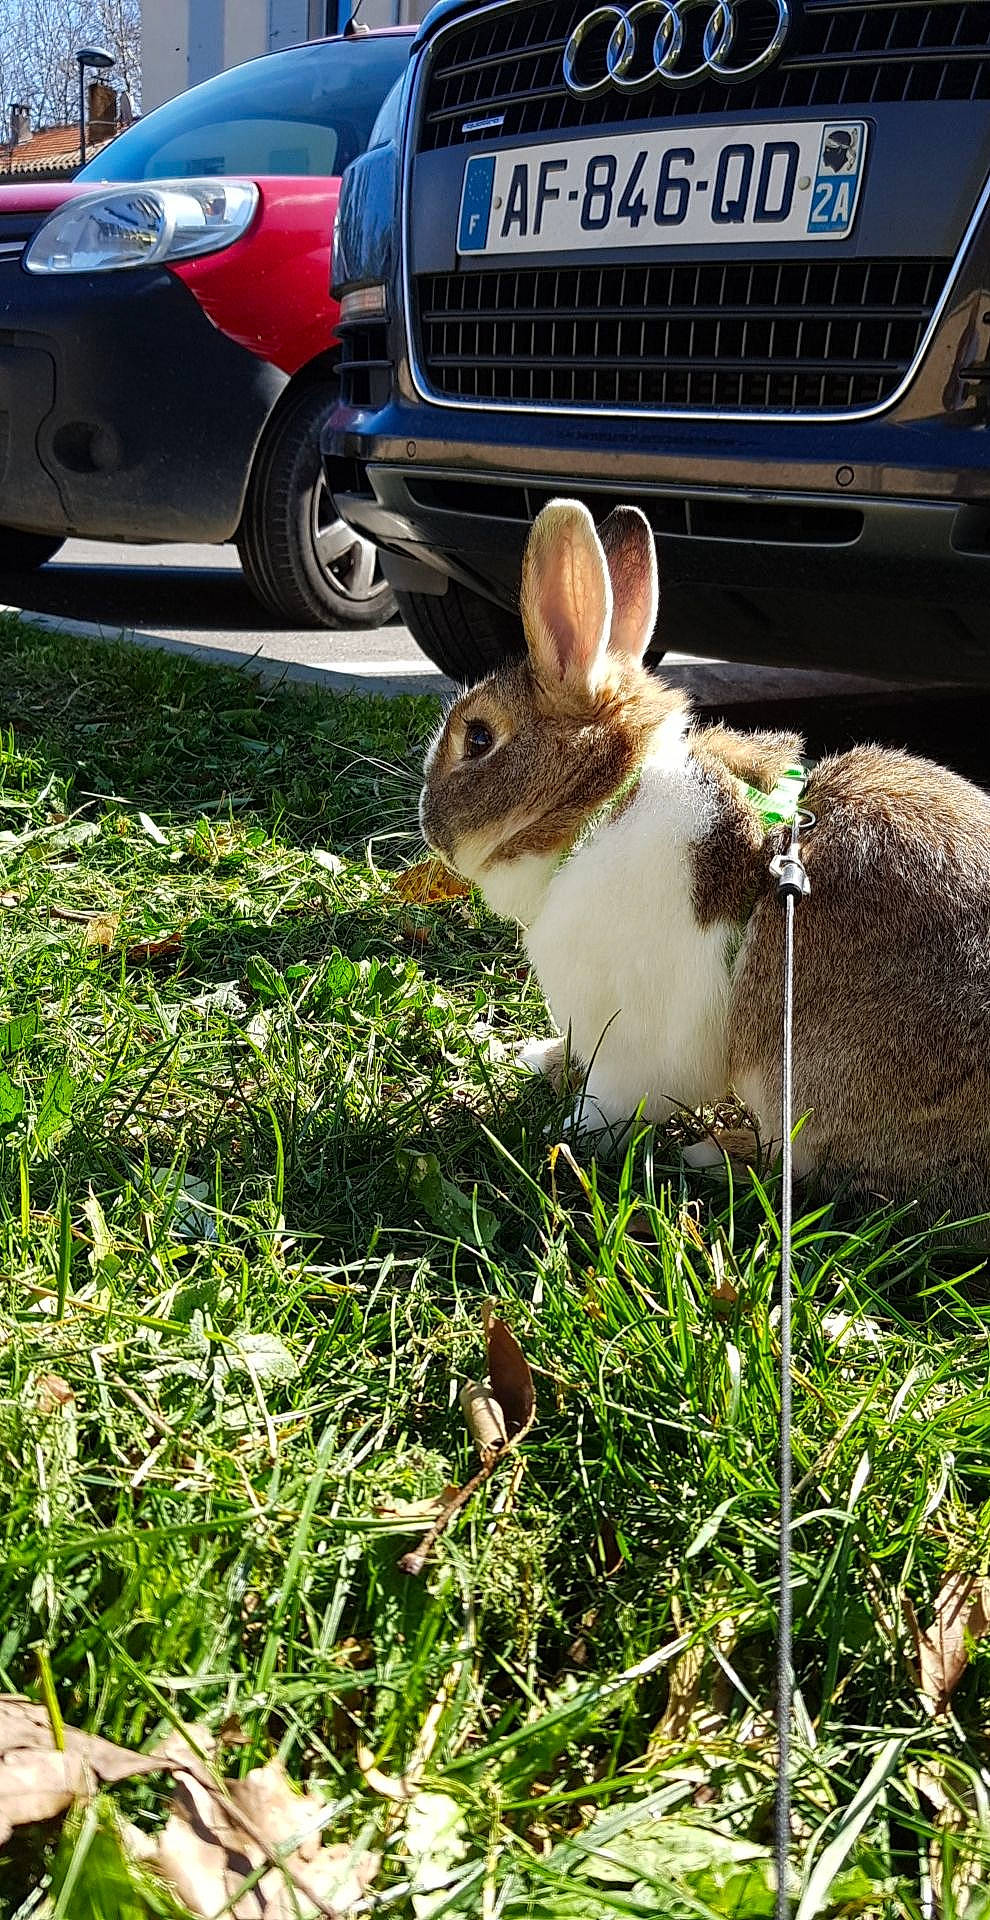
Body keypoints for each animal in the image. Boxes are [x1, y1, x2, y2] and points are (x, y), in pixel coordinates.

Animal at [419, 497, 990, 1221]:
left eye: (478, 738)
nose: (429, 828)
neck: (603, 808)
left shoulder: (638, 1041)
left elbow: (612, 1100)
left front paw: (562, 1135)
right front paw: (537, 1058)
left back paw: (708, 1156)